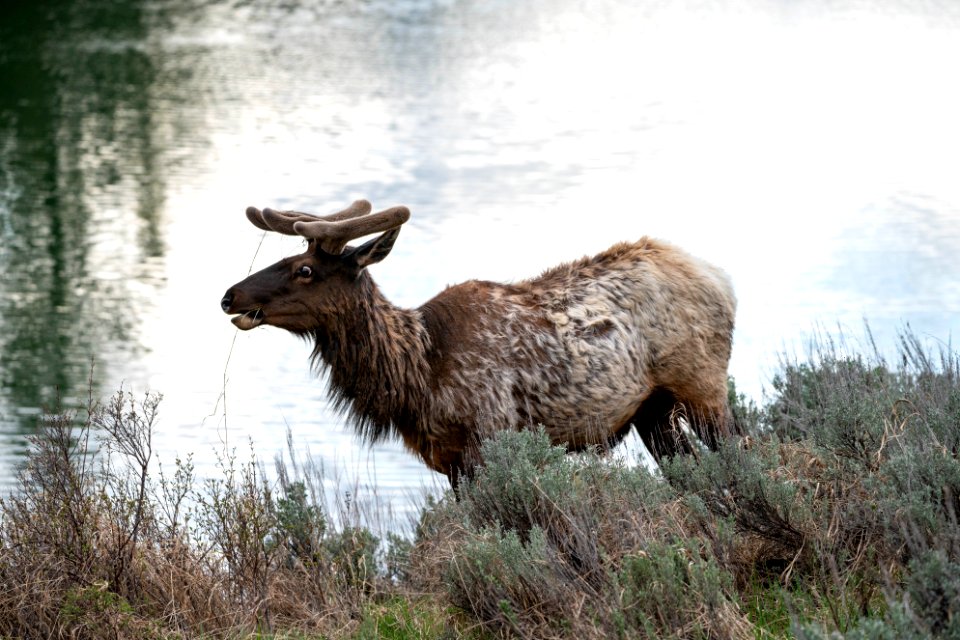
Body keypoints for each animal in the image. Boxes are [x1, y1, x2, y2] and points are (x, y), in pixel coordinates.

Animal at [221, 201, 740, 490]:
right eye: (286, 259)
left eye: (304, 270)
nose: (229, 295)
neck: (417, 374)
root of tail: (721, 278)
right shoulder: (448, 460)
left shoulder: (489, 436)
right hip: (652, 410)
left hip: (704, 387)